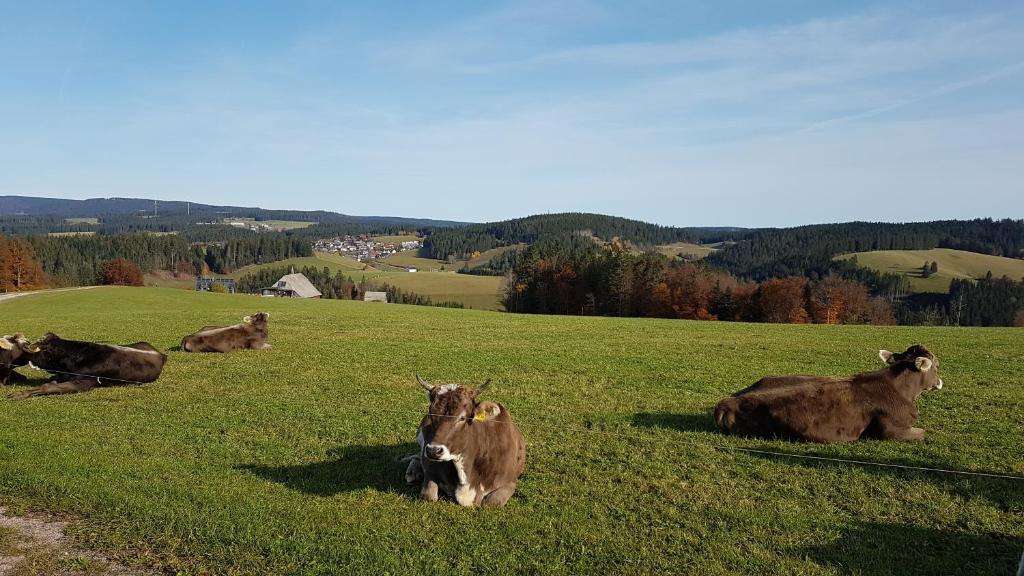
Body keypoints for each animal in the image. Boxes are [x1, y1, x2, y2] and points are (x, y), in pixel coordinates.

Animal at [405, 377, 528, 506]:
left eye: (462, 418)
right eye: (431, 414)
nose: (433, 451)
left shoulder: (509, 483)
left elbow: (491, 503)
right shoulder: (431, 470)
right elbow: (428, 496)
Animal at [712, 342, 942, 440]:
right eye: (937, 365)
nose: (940, 382)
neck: (901, 389)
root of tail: (726, 402)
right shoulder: (893, 430)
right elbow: (924, 433)